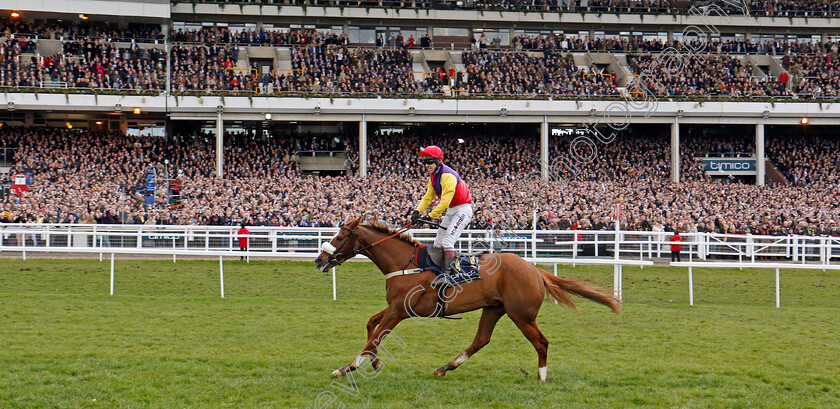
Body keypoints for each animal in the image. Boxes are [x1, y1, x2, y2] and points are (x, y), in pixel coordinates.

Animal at [312, 218, 620, 380]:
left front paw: (348, 367)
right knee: (481, 340)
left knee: (541, 342)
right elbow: (370, 326)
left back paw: (542, 376)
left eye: (339, 238)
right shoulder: (395, 308)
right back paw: (444, 367)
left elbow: (375, 336)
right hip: (494, 309)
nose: (319, 261)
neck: (405, 262)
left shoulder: (399, 310)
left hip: (521, 314)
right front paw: (373, 362)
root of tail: (535, 270)